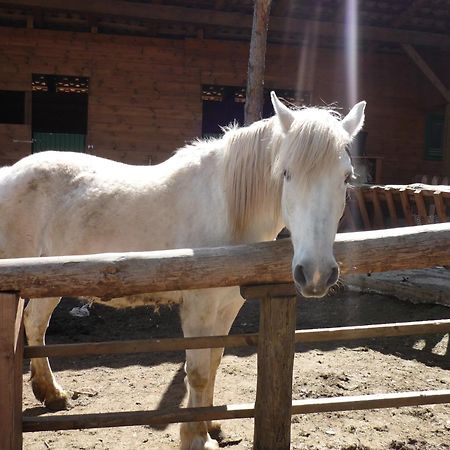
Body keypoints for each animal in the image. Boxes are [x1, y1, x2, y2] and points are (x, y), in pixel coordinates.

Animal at [0, 92, 364, 450]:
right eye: (286, 173)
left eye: (346, 177)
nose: (315, 274)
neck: (226, 209)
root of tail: (9, 174)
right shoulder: (198, 308)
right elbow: (198, 371)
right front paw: (196, 437)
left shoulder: (228, 306)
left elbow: (214, 361)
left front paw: (212, 425)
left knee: (35, 322)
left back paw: (51, 394)